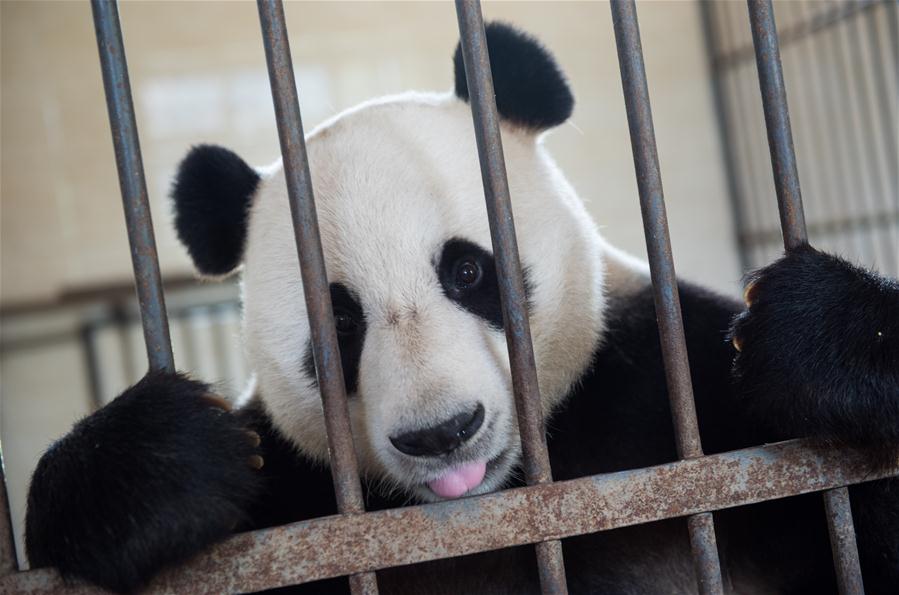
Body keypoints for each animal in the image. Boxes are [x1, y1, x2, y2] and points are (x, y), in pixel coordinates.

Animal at [22, 21, 899, 592]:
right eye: (340, 322)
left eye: (468, 270)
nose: (442, 433)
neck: (496, 502)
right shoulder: (293, 496)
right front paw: (158, 465)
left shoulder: (674, 398)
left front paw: (820, 338)